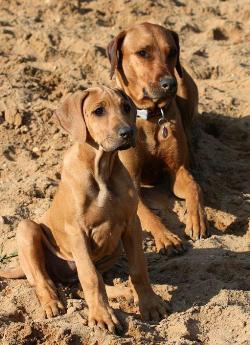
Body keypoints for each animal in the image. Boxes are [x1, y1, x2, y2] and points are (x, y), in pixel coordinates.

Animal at [1, 85, 168, 330]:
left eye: (126, 108)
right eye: (98, 111)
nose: (128, 132)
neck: (102, 170)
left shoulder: (131, 224)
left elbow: (138, 269)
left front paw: (150, 304)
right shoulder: (77, 232)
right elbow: (90, 276)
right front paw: (102, 316)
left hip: (115, 247)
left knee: (81, 283)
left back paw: (124, 292)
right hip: (27, 228)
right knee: (44, 280)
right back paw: (52, 304)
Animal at [106, 20, 208, 253]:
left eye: (172, 52)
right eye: (142, 53)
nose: (170, 84)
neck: (151, 116)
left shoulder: (177, 170)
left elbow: (194, 187)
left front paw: (197, 219)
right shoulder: (132, 184)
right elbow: (149, 215)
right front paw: (166, 237)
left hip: (186, 86)